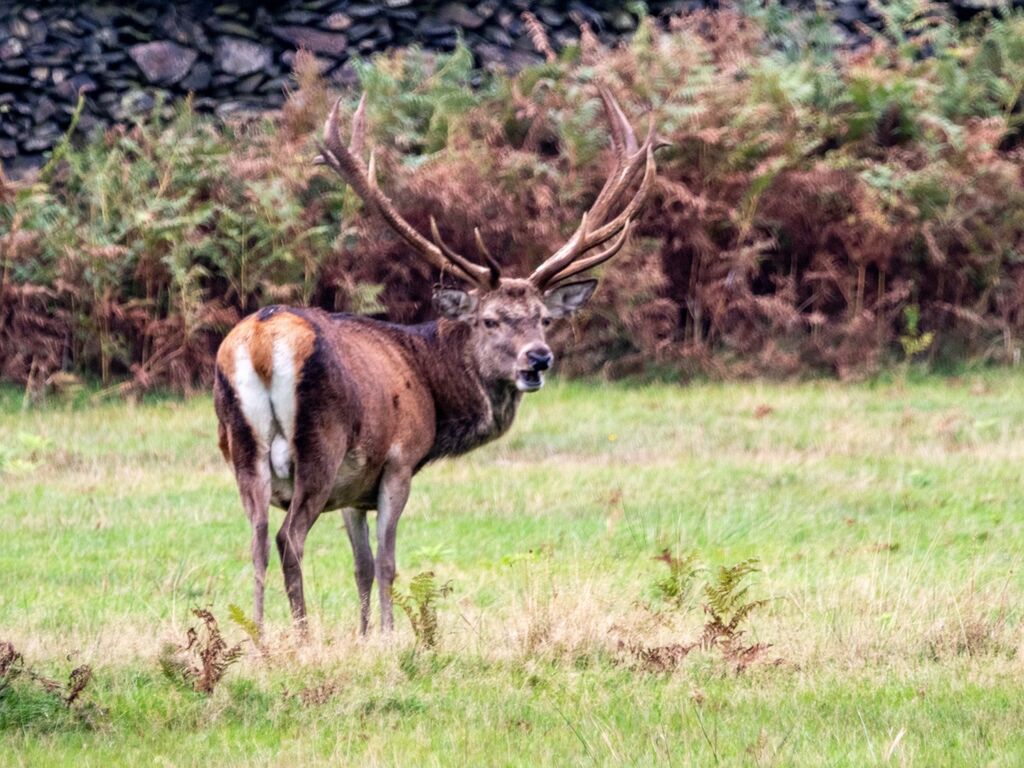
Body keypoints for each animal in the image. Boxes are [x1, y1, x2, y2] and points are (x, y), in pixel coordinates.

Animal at [214, 88, 660, 636]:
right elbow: (386, 562)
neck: (429, 381)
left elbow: (361, 566)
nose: (538, 360)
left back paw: (257, 635)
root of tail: (259, 341)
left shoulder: (352, 491)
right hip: (320, 444)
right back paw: (301, 636)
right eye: (490, 320)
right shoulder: (399, 460)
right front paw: (388, 635)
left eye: (543, 319)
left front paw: (363, 634)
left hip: (242, 451)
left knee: (255, 541)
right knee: (287, 539)